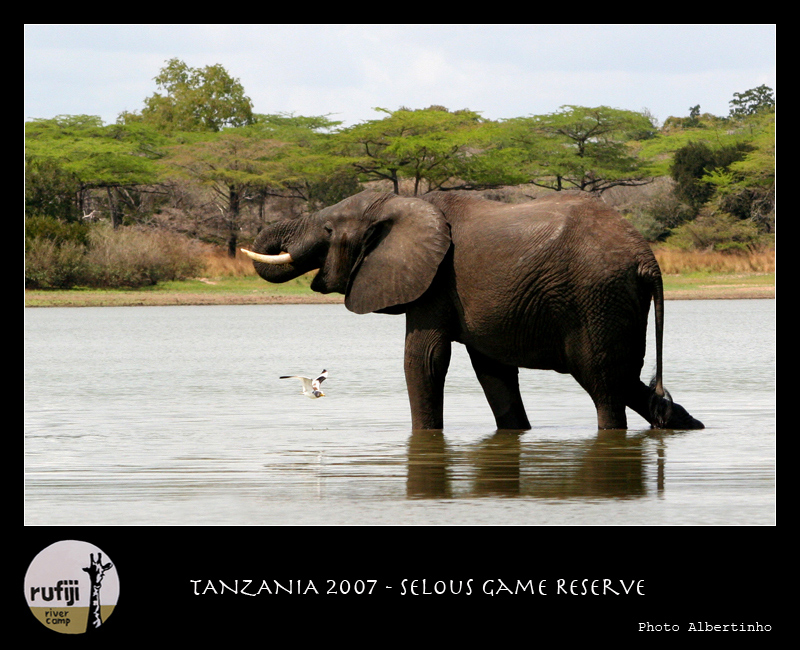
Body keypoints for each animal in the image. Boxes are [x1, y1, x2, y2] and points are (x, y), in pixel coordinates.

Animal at [241, 190, 704, 432]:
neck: (396, 203)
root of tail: (647, 259)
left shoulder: (433, 282)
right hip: (614, 303)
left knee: (605, 386)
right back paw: (681, 422)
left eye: (327, 230)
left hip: (596, 299)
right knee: (625, 380)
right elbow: (493, 372)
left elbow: (424, 360)